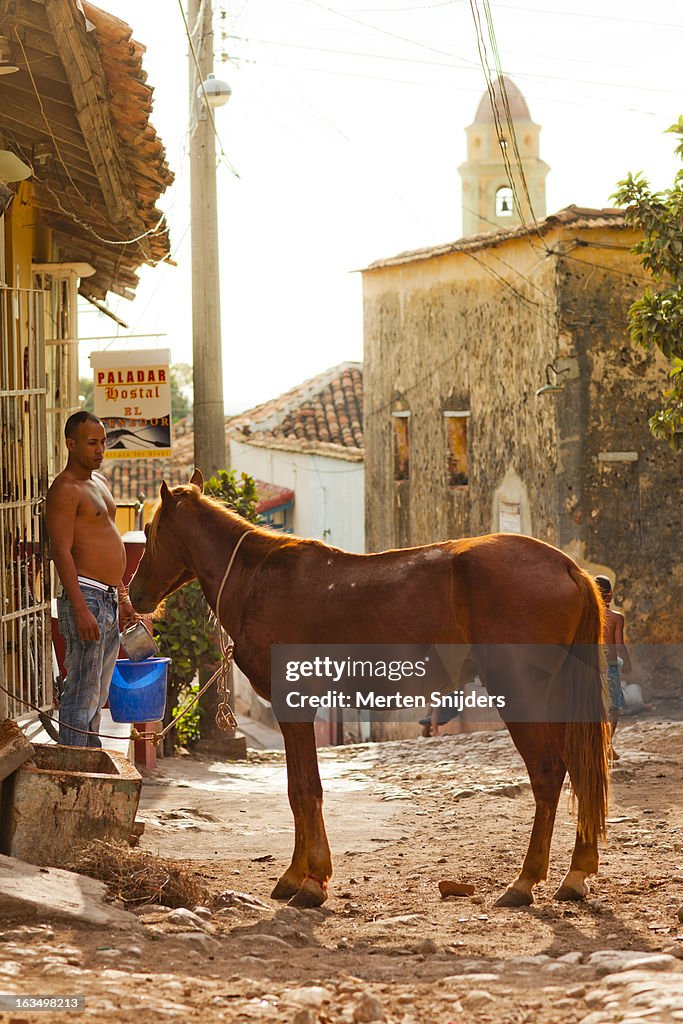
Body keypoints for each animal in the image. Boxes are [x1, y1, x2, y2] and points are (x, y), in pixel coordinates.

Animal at [131, 468, 610, 909]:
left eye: (151, 531)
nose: (135, 595)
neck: (259, 579)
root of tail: (568, 567)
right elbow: (298, 789)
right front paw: (296, 875)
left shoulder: (294, 704)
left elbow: (304, 788)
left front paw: (312, 880)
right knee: (578, 770)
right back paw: (576, 874)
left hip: (522, 693)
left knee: (547, 773)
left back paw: (525, 881)